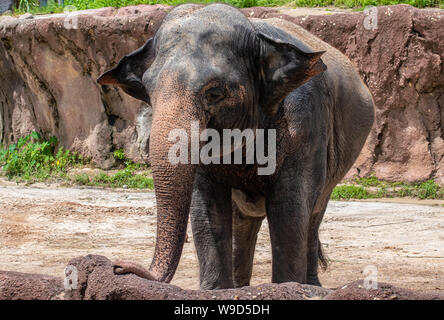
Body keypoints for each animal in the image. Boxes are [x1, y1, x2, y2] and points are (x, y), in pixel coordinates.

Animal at [97, 2, 374, 288]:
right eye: (149, 90)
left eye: (215, 93)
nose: (118, 266)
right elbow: (206, 205)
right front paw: (216, 290)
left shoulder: (305, 124)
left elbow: (290, 206)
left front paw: (286, 286)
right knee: (244, 221)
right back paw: (242, 286)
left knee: (314, 213)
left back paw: (310, 285)